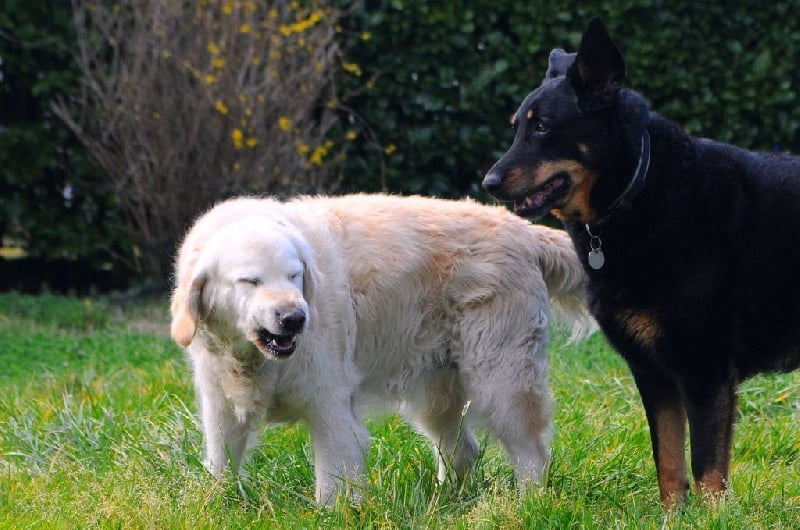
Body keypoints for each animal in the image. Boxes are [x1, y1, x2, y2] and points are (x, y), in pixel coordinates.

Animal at [170, 192, 592, 502]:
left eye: (294, 275)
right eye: (250, 281)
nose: (295, 318)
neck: (252, 359)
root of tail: (524, 229)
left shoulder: (329, 405)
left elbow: (334, 479)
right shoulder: (220, 405)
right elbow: (221, 463)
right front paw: (219, 504)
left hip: (501, 379)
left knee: (531, 453)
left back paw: (527, 504)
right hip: (436, 395)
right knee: (464, 450)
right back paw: (446, 498)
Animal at [482, 16, 800, 504]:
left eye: (544, 128)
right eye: (518, 126)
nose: (489, 182)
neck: (642, 192)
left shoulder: (705, 369)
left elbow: (707, 471)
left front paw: (712, 516)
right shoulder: (652, 373)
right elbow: (668, 463)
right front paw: (673, 516)